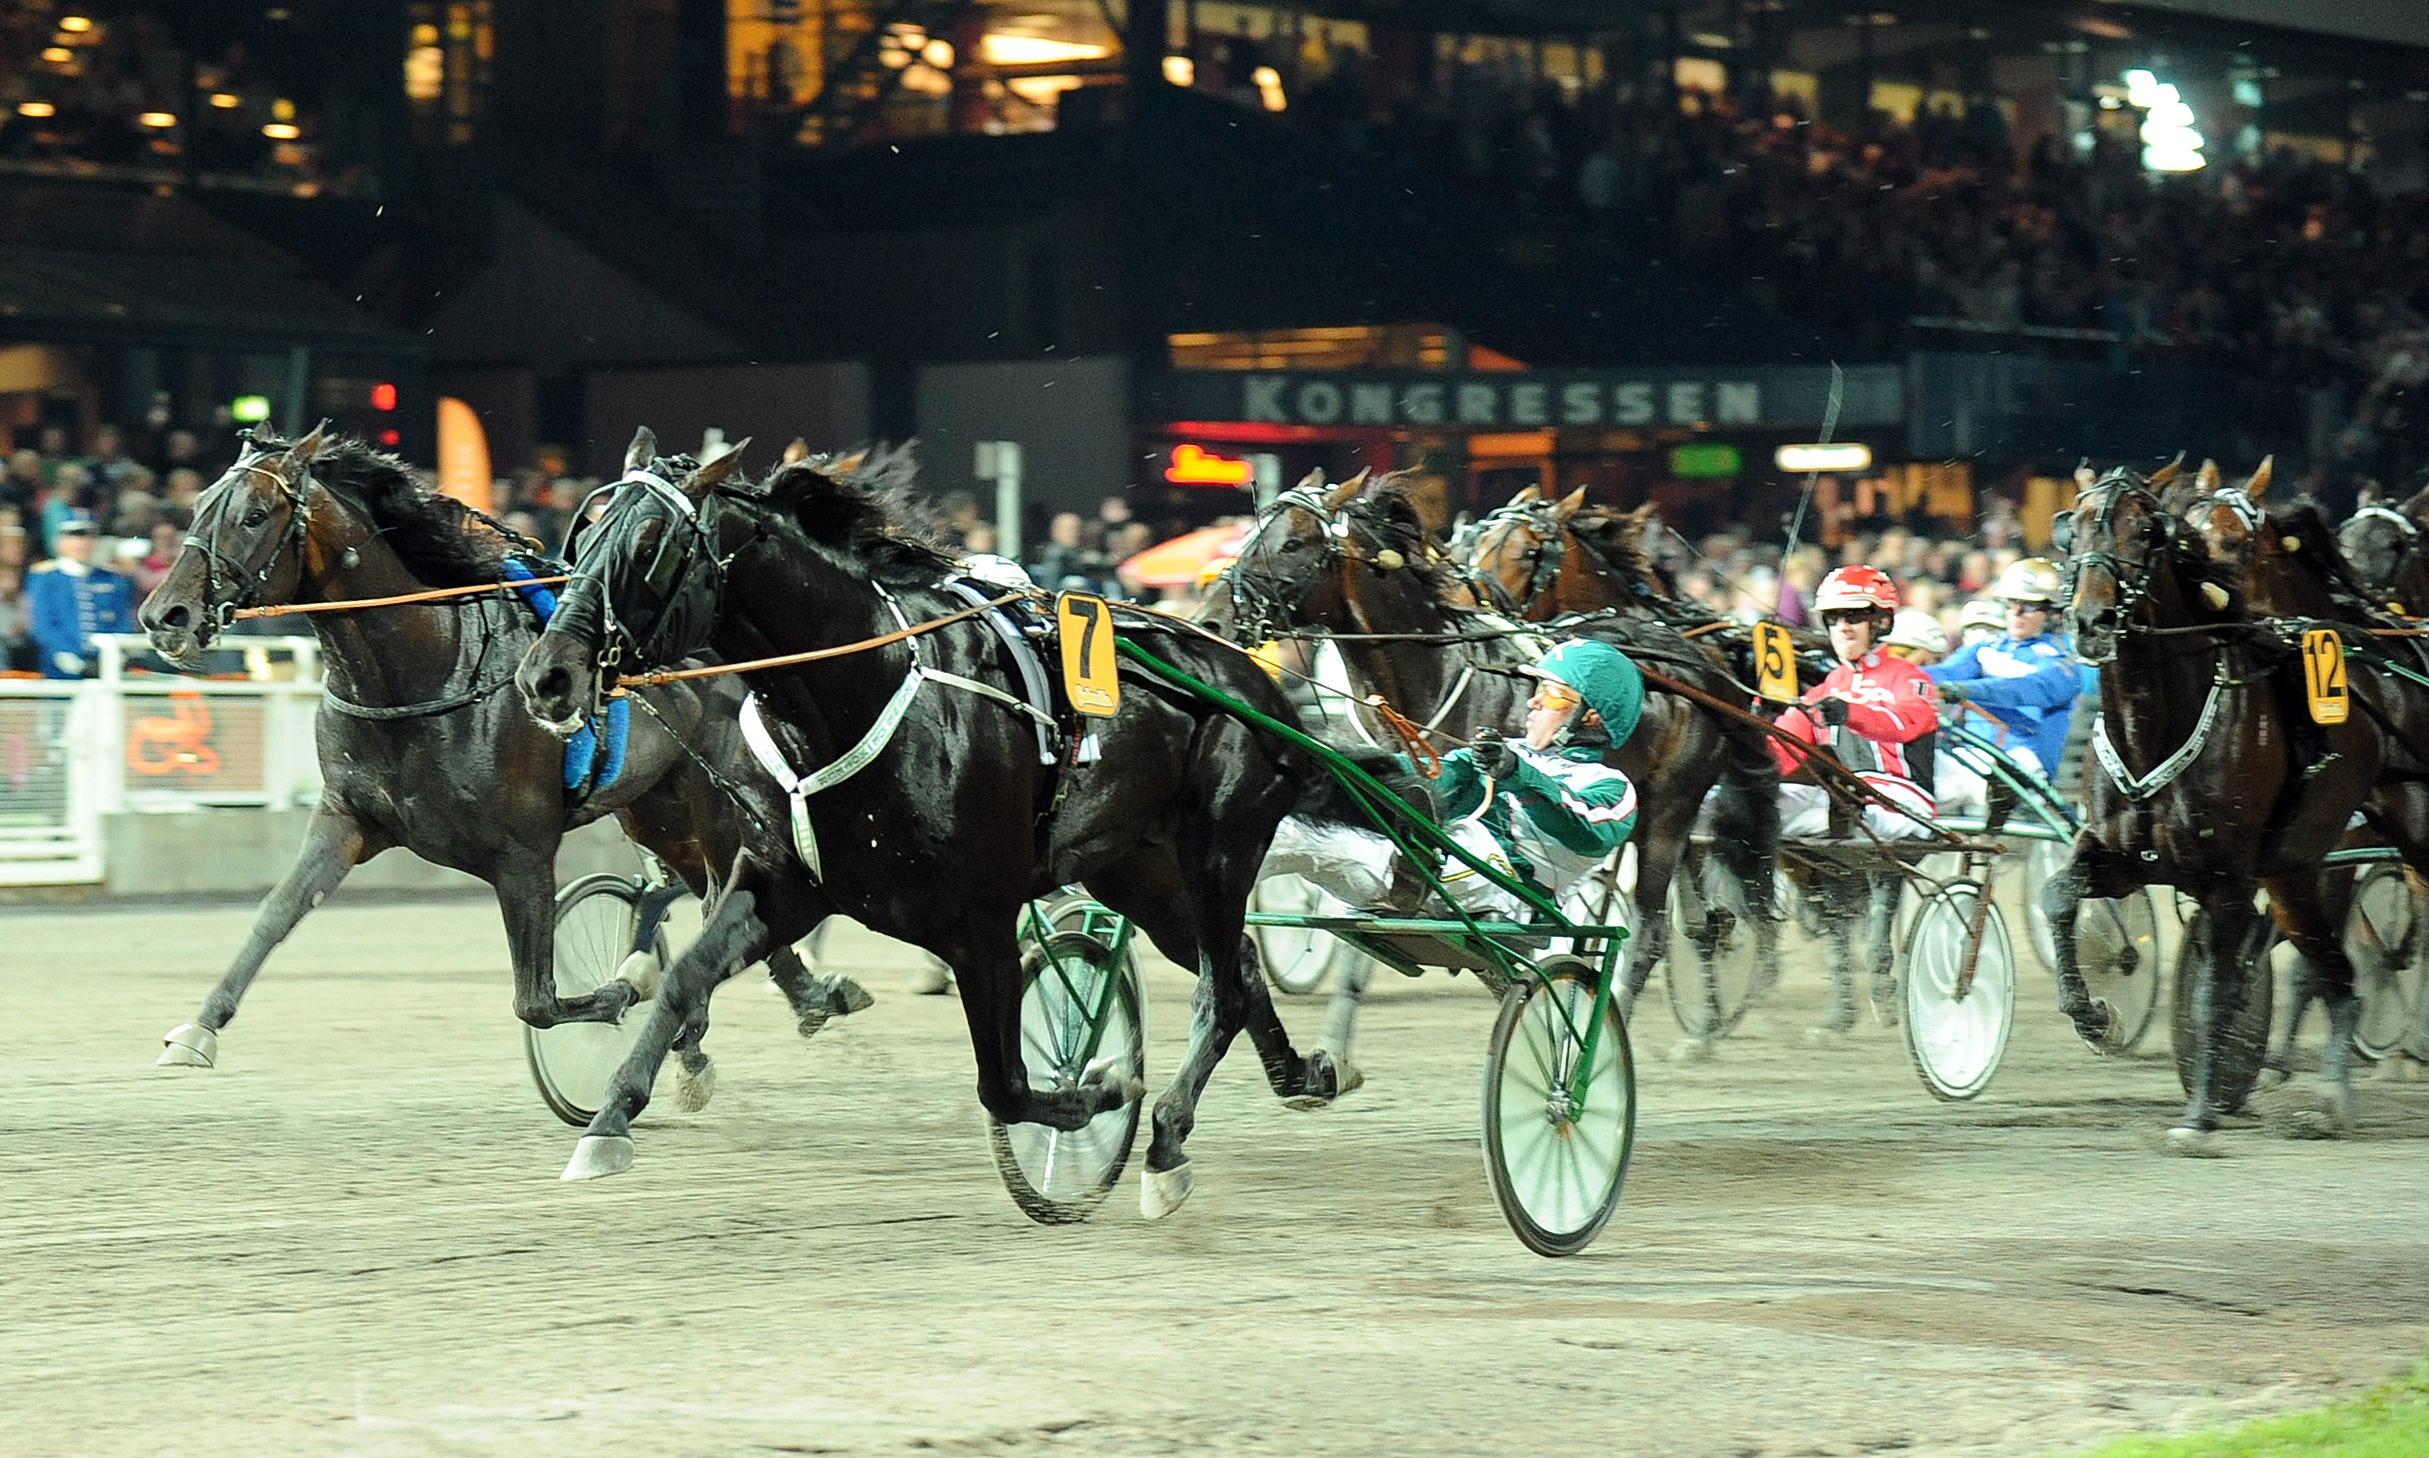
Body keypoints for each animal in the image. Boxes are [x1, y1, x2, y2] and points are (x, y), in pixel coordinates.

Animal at [137, 420, 869, 1093]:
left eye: (254, 515)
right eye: (198, 505)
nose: (165, 615)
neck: (428, 665)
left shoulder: (524, 853)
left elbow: (537, 1001)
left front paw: (633, 979)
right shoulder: (346, 818)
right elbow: (276, 913)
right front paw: (199, 1029)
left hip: (716, 804)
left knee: (726, 894)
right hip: (658, 810)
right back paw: (778, 1009)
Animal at [517, 434, 1369, 1219]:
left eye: (647, 548)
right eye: (581, 540)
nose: (545, 675)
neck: (857, 691)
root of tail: (1247, 672)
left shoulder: (980, 919)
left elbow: (1006, 1084)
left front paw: (1097, 1090)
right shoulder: (781, 884)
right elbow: (683, 979)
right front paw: (609, 1119)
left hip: (1219, 847)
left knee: (1220, 988)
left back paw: (1164, 1141)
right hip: (1135, 870)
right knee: (1238, 969)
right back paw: (1293, 1079)